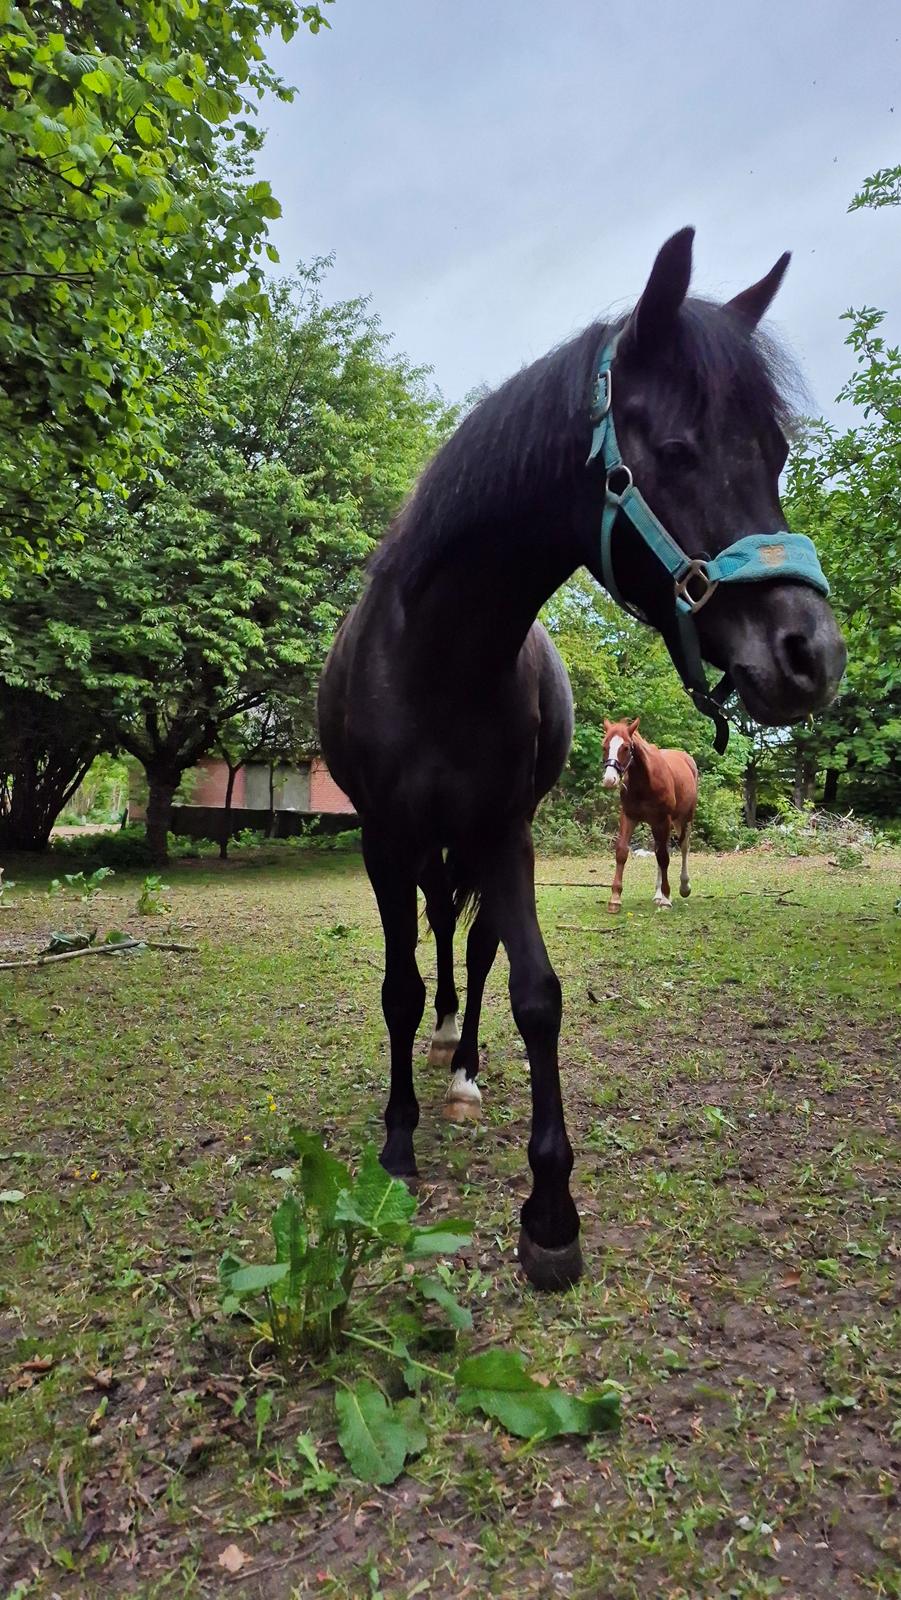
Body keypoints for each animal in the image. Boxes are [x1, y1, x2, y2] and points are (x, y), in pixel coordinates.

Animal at [601, 717, 698, 911]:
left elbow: (664, 857)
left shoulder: (663, 820)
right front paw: (615, 898)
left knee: (683, 847)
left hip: (684, 818)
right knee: (659, 850)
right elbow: (622, 852)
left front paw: (667, 897)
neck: (645, 782)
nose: (609, 779)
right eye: (604, 746)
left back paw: (683, 887)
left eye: (625, 747)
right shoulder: (629, 817)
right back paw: (658, 894)